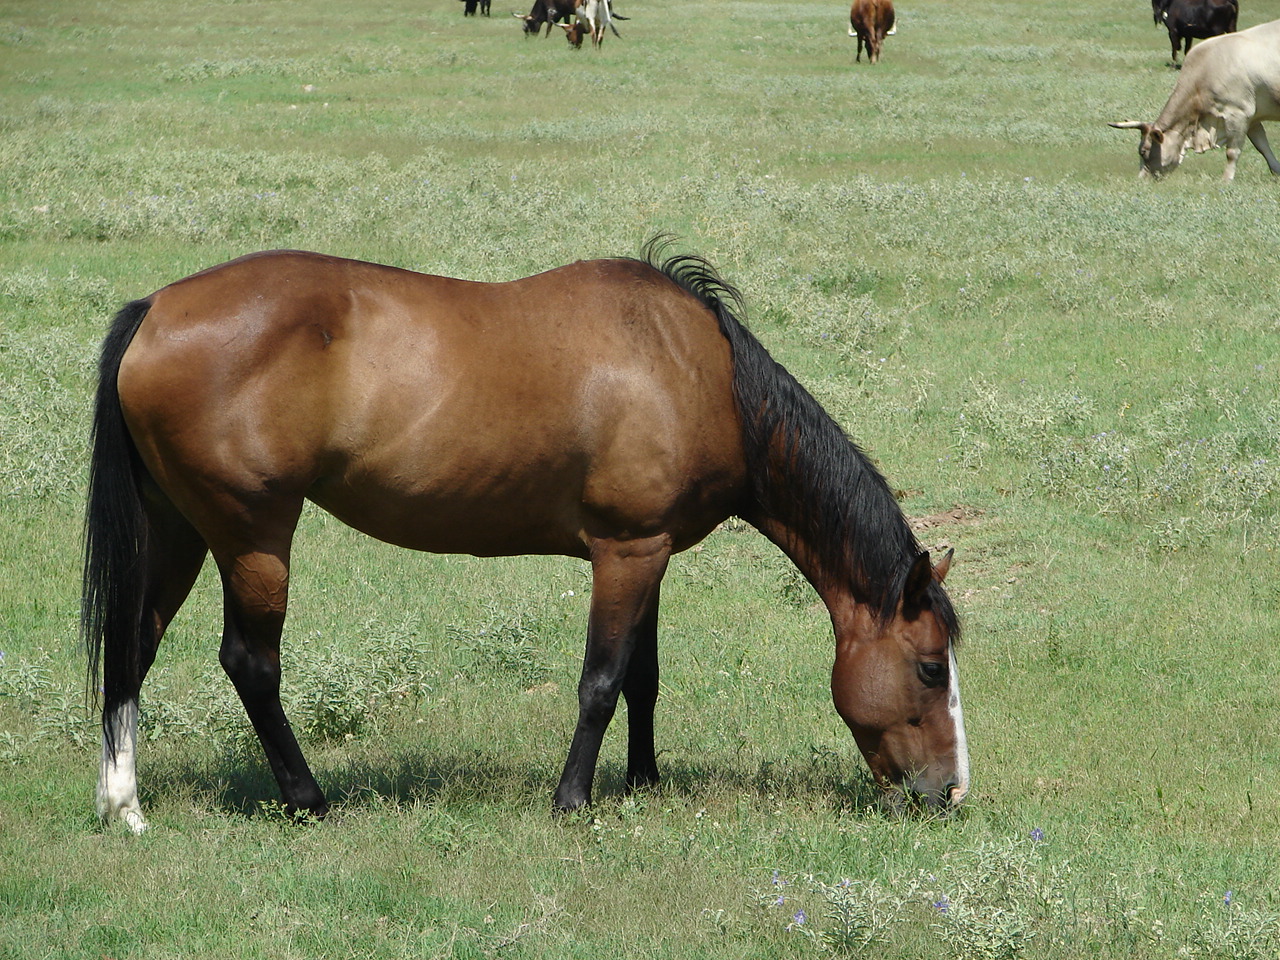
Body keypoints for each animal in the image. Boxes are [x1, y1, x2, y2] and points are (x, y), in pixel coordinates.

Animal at [83, 240, 968, 834]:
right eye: (930, 668)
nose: (952, 792)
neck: (698, 375)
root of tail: (155, 309)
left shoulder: (649, 554)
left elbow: (643, 679)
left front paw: (643, 782)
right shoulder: (625, 552)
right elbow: (602, 682)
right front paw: (573, 800)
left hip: (179, 529)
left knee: (134, 644)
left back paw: (123, 803)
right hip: (253, 533)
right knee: (251, 664)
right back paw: (307, 800)